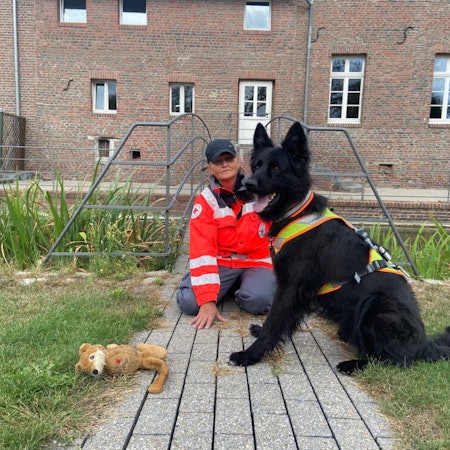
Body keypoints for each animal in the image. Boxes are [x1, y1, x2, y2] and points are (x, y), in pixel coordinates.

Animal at [229, 121, 450, 374]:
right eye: (257, 165)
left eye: (276, 168)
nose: (247, 185)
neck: (296, 212)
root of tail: (425, 344)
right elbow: (280, 320)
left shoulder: (291, 285)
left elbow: (275, 319)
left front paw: (250, 354)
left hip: (377, 306)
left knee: (392, 360)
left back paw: (352, 364)